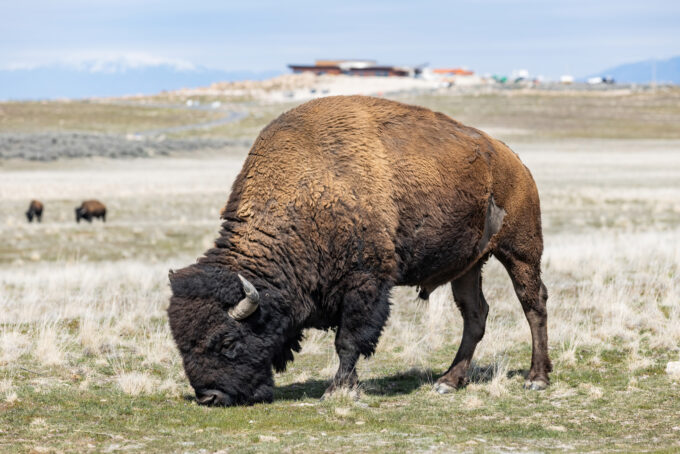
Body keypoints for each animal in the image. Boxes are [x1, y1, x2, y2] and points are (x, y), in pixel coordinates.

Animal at [168, 95, 552, 407]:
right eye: (181, 344)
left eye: (227, 342)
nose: (209, 397)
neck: (305, 192)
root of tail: (513, 161)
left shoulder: (364, 284)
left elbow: (349, 341)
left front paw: (338, 389)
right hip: (468, 266)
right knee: (475, 314)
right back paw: (448, 381)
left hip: (520, 250)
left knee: (533, 303)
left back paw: (537, 379)